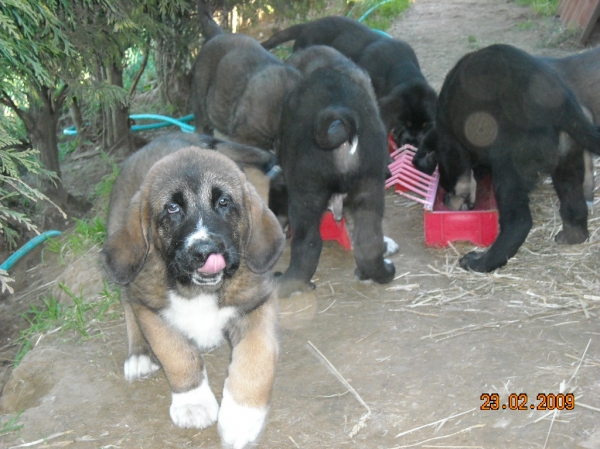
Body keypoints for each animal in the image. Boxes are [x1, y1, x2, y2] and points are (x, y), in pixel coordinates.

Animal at [101, 138, 286, 446]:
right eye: (172, 208)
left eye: (224, 202)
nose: (205, 250)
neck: (198, 290)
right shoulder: (153, 311)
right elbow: (177, 354)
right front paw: (192, 401)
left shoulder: (257, 304)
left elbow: (255, 357)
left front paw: (241, 416)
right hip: (125, 265)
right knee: (127, 300)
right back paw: (139, 353)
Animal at [274, 46, 396, 298]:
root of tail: (337, 128)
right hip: (369, 185)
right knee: (369, 240)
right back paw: (378, 273)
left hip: (306, 193)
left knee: (307, 245)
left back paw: (287, 283)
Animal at [414, 43, 600, 272]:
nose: (444, 200)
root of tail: (564, 108)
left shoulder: (451, 146)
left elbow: (460, 179)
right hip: (567, 162)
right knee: (574, 204)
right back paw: (572, 236)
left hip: (509, 169)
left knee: (519, 222)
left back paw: (480, 262)